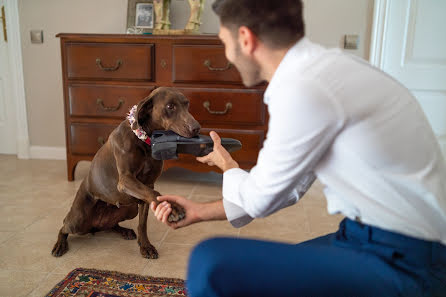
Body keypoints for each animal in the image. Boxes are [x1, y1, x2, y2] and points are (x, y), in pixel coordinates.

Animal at [51, 86, 199, 258]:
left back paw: (124, 231)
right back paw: (60, 244)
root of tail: (95, 226)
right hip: (78, 220)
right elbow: (156, 194)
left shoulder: (147, 186)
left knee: (111, 225)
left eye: (187, 104)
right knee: (63, 226)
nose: (197, 128)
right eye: (170, 106)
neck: (144, 141)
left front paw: (145, 245)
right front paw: (174, 208)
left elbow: (143, 222)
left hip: (130, 209)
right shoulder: (126, 180)